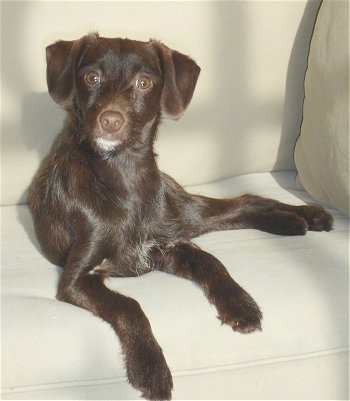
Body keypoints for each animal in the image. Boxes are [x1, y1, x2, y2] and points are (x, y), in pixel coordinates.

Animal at [28, 32, 334, 398]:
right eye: (91, 77)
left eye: (144, 83)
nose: (111, 120)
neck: (124, 176)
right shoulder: (77, 278)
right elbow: (130, 305)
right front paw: (150, 367)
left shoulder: (172, 245)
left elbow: (213, 262)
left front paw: (241, 304)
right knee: (244, 205)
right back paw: (293, 222)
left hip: (185, 213)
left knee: (247, 200)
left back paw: (307, 216)